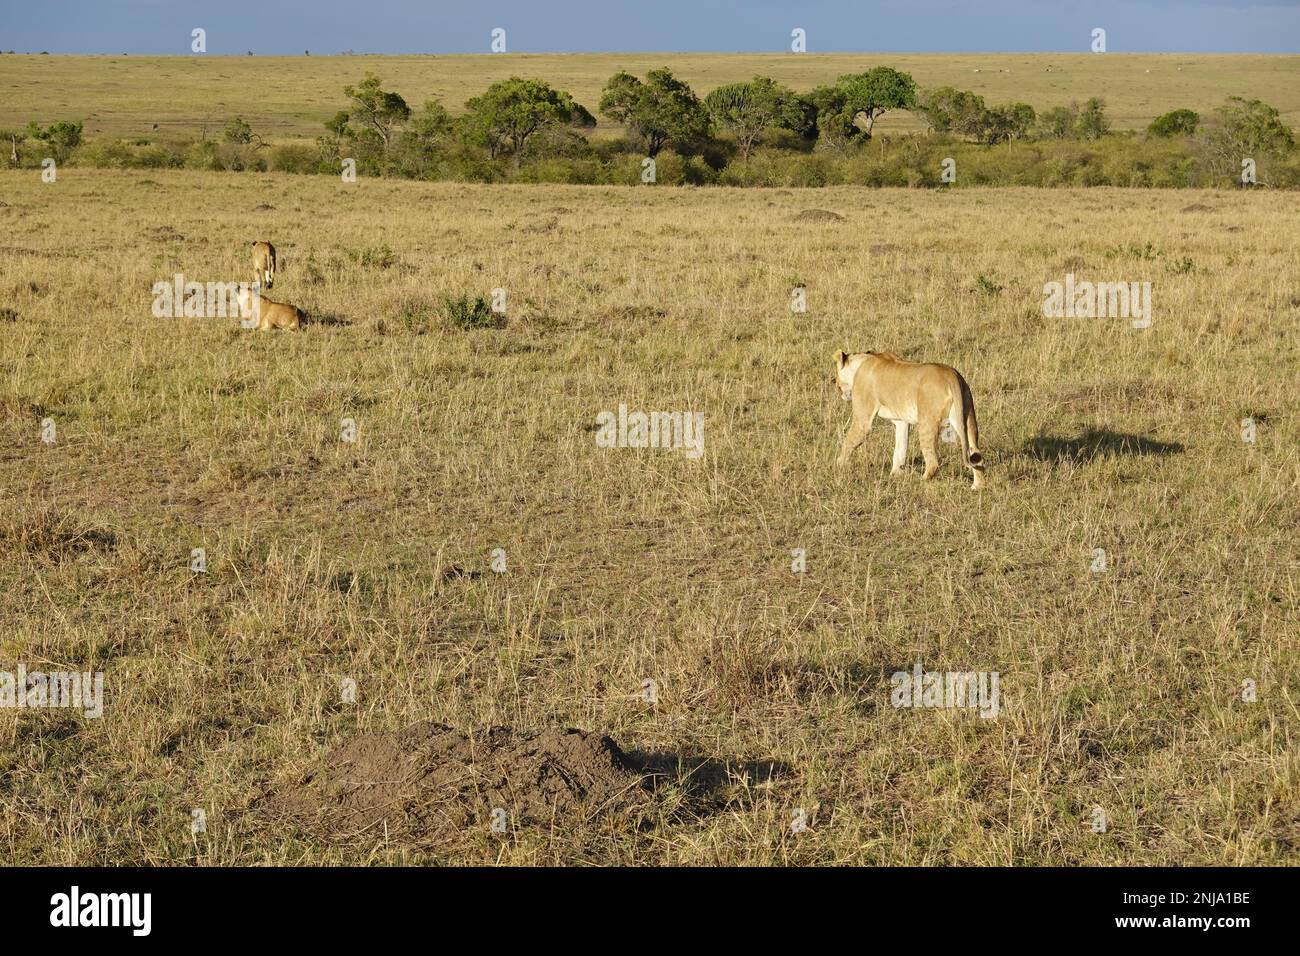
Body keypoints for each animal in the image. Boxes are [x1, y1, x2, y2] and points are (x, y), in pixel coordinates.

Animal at [833, 350, 985, 489]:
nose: (835, 383)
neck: (862, 362)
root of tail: (951, 375)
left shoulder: (863, 419)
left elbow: (849, 442)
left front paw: (839, 465)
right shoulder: (902, 422)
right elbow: (900, 448)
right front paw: (895, 475)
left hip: (926, 422)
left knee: (933, 462)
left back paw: (920, 482)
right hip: (968, 418)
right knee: (977, 455)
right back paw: (977, 487)